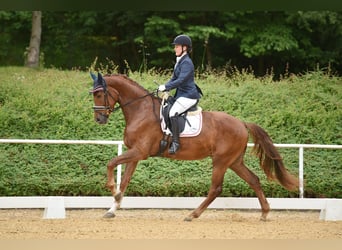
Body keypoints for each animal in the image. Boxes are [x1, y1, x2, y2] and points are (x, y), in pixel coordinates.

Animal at [89, 72, 298, 221]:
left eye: (99, 94)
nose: (99, 119)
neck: (141, 110)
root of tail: (241, 123)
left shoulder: (139, 152)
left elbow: (111, 163)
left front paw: (112, 190)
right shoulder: (136, 154)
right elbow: (125, 180)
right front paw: (113, 207)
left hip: (221, 161)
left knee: (216, 188)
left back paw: (192, 214)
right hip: (234, 161)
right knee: (253, 180)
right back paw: (264, 212)